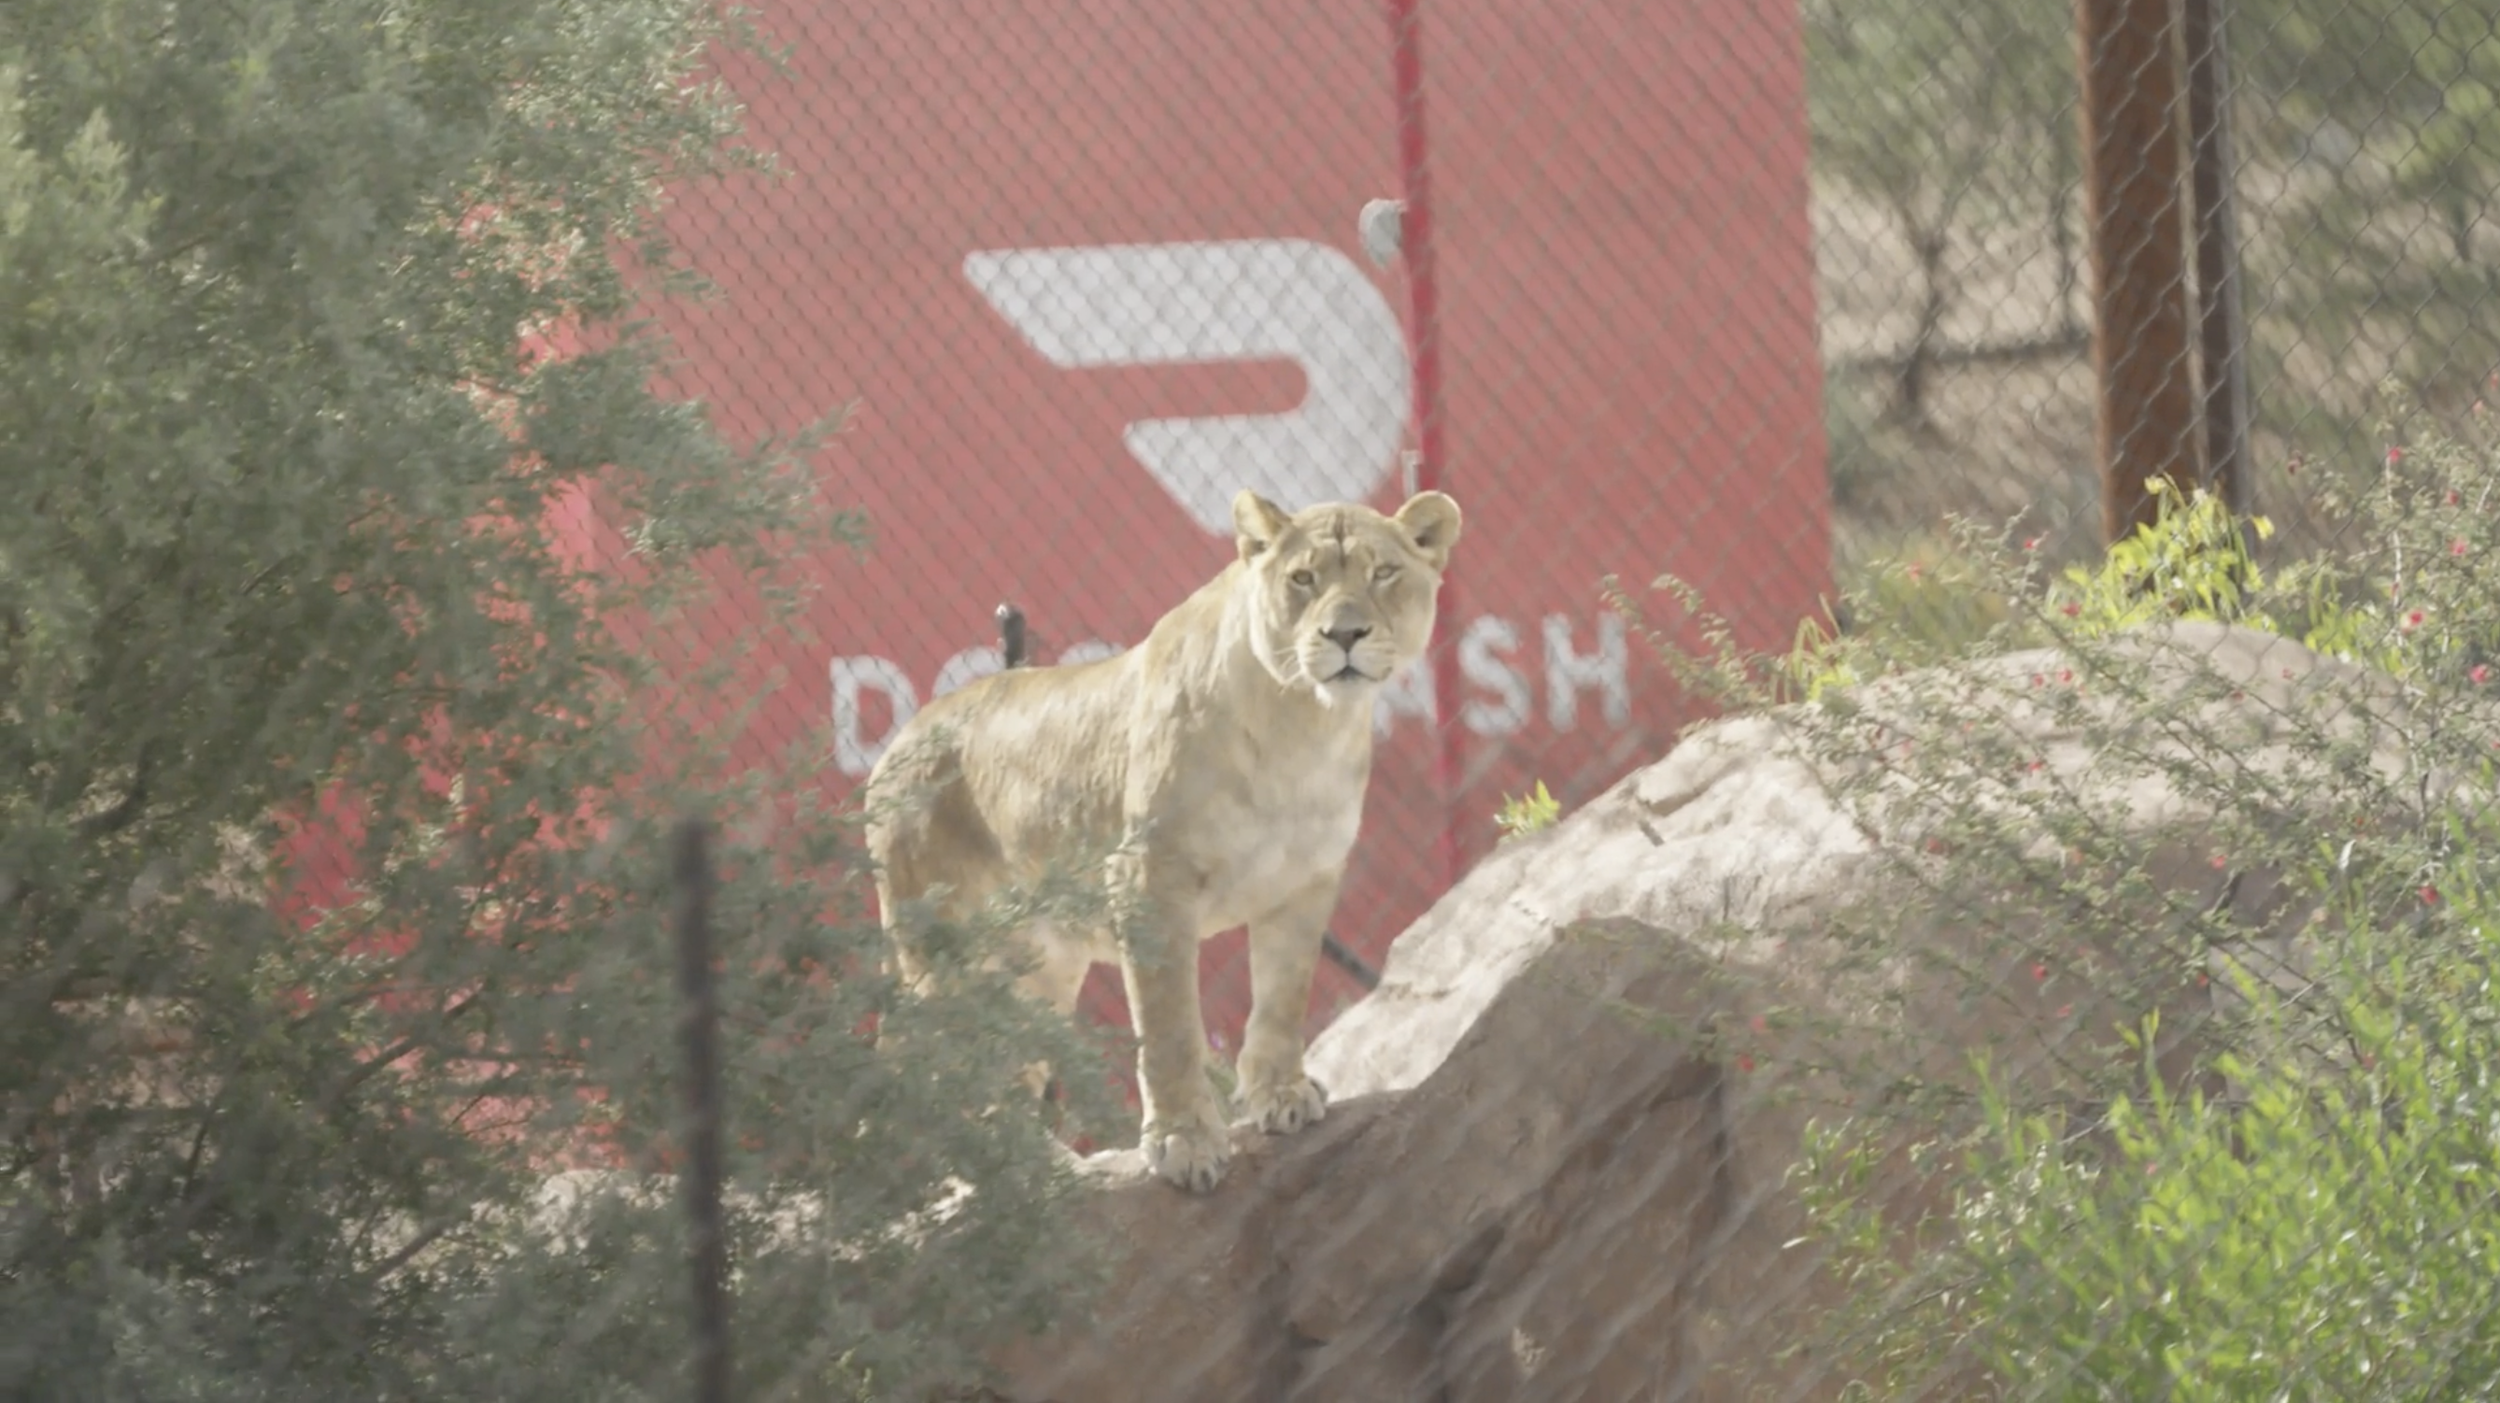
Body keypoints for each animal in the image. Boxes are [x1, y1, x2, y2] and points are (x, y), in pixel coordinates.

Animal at [864, 488, 1462, 1192]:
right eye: (1303, 578)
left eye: (1383, 573)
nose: (1344, 634)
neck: (1303, 724)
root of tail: (899, 740)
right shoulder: (1149, 877)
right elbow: (1169, 1023)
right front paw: (1185, 1142)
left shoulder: (1304, 880)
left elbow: (1283, 996)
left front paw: (1281, 1095)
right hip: (938, 954)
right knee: (911, 1064)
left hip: (1037, 967)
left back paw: (1041, 1168)